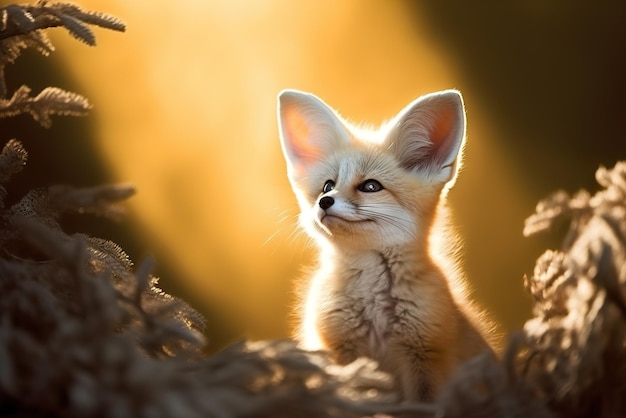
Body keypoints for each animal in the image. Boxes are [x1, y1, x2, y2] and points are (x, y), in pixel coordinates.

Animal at [276, 89, 494, 402]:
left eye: (370, 186)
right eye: (328, 186)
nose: (324, 202)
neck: (374, 307)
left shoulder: (426, 355)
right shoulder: (342, 352)